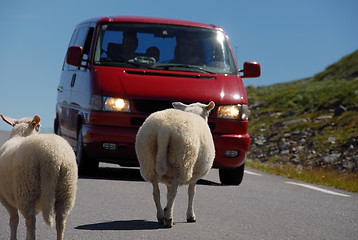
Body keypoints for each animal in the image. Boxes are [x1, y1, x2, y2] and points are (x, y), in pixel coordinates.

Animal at [135, 100, 215, 228]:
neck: (195, 113)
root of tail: (164, 129)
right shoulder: (195, 174)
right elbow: (191, 192)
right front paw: (190, 216)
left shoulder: (169, 176)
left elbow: (167, 193)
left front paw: (167, 208)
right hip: (181, 162)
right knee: (174, 192)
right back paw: (168, 220)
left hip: (148, 160)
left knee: (156, 192)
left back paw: (161, 216)